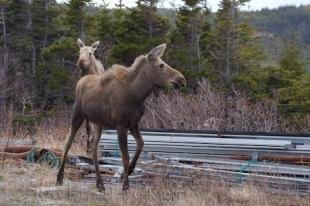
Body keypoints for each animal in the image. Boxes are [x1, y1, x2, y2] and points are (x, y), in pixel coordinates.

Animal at [55, 43, 185, 192]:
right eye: (161, 65)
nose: (181, 79)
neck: (137, 95)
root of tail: (81, 79)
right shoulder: (121, 125)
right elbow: (125, 157)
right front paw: (125, 186)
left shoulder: (134, 124)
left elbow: (141, 144)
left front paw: (130, 170)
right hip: (78, 115)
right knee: (68, 142)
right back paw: (59, 177)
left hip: (98, 123)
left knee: (93, 148)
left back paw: (100, 183)